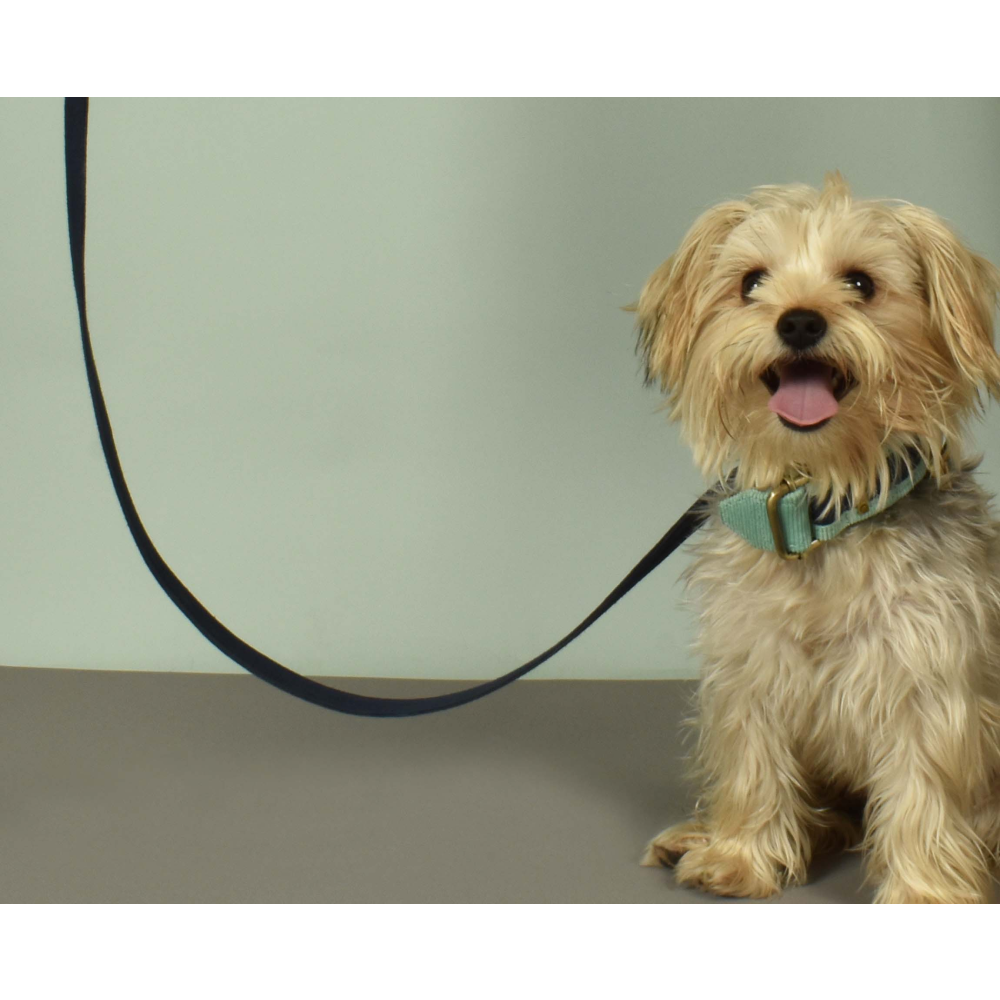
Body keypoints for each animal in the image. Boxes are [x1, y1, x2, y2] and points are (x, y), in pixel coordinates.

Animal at [635, 173, 1000, 903]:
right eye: (751, 282)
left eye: (861, 283)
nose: (799, 320)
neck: (820, 512)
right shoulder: (749, 670)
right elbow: (752, 762)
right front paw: (740, 854)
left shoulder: (929, 682)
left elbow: (924, 790)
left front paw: (926, 891)